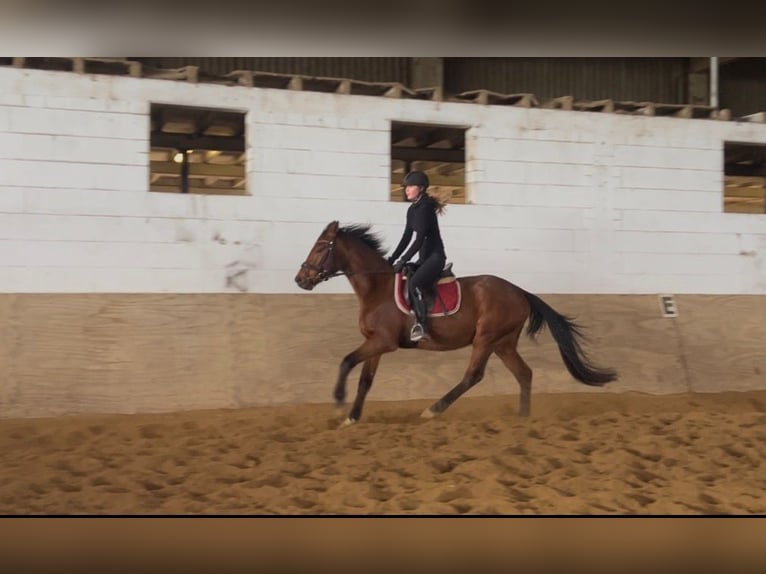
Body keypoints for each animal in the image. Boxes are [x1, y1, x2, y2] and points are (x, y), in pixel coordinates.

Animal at [294, 220, 617, 426]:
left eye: (321, 247)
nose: (300, 280)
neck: (377, 288)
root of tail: (520, 291)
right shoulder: (376, 343)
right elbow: (365, 380)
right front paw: (351, 417)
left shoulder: (382, 342)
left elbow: (347, 361)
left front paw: (338, 403)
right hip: (503, 342)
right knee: (524, 374)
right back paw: (522, 418)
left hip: (486, 338)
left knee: (473, 376)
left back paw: (432, 411)